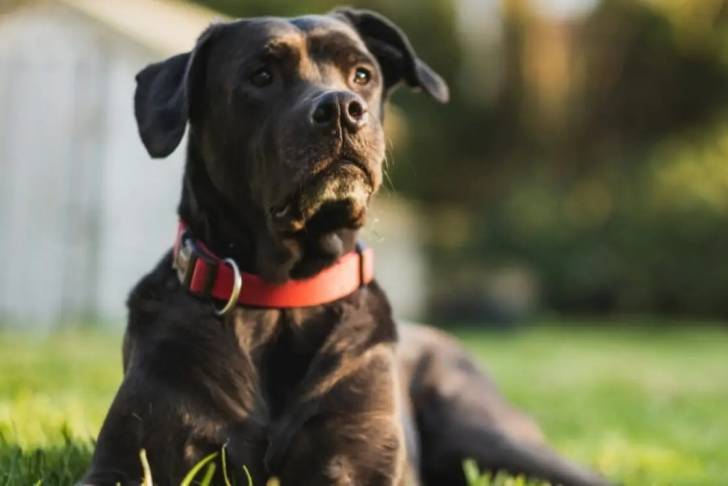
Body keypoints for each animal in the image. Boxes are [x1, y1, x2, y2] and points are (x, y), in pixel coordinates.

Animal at [82, 8, 612, 486]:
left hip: (485, 433)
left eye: (362, 74)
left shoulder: (358, 459)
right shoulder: (127, 458)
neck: (282, 297)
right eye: (261, 75)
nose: (341, 108)